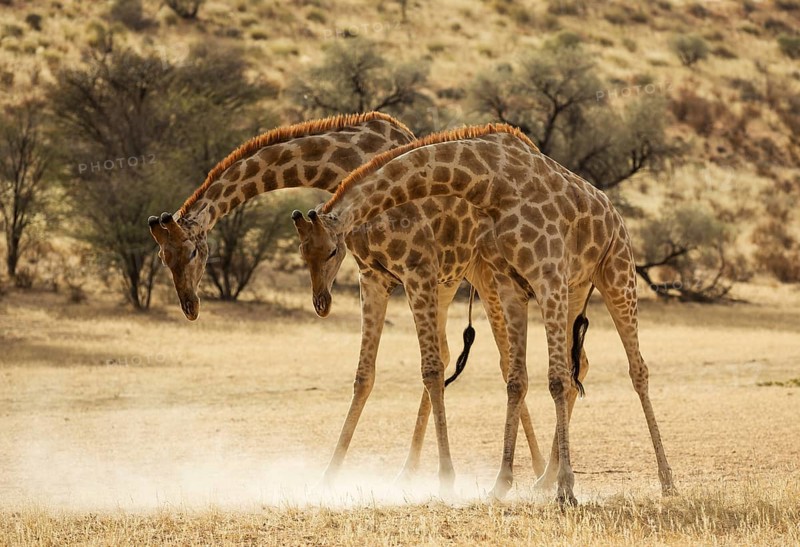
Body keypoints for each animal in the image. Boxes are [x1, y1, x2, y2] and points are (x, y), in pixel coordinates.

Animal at [145, 113, 546, 490]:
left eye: (193, 252)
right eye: (163, 258)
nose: (190, 307)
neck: (346, 164)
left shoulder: (415, 270)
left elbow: (430, 371)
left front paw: (447, 476)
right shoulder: (375, 277)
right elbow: (364, 376)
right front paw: (329, 475)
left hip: (486, 274)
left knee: (504, 360)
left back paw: (541, 470)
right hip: (449, 281)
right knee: (458, 355)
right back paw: (410, 471)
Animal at [292, 123, 676, 504]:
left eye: (331, 251)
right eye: (302, 252)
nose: (321, 303)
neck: (493, 186)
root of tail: (612, 211)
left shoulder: (547, 277)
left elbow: (555, 379)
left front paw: (567, 489)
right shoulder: (511, 285)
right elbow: (517, 379)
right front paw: (501, 484)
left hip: (617, 275)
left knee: (637, 370)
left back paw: (666, 480)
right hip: (576, 289)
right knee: (579, 365)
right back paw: (544, 480)